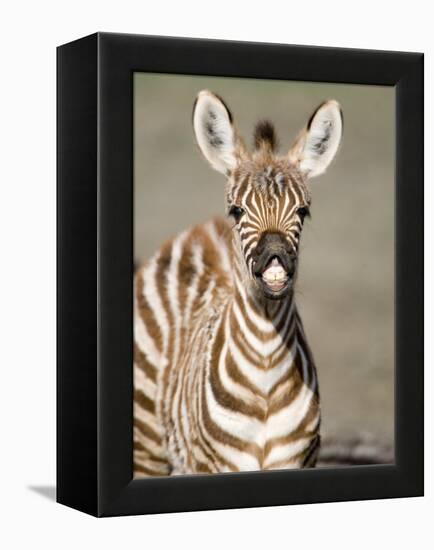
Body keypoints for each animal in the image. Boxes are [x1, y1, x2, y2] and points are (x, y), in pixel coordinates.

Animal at [134, 91, 344, 478]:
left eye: (302, 211)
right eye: (237, 211)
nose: (275, 258)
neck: (265, 371)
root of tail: (201, 229)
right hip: (147, 444)